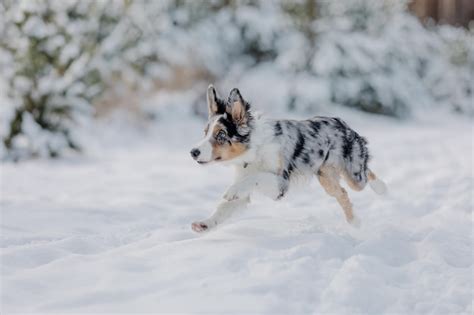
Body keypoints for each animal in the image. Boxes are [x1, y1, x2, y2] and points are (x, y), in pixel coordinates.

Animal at [189, 85, 386, 233]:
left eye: (221, 135)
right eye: (205, 133)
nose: (193, 152)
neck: (254, 150)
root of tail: (344, 124)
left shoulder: (280, 184)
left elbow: (255, 178)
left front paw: (231, 190)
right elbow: (223, 208)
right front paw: (204, 224)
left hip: (354, 173)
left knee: (365, 173)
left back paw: (382, 189)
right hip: (326, 177)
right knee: (343, 193)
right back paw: (355, 223)